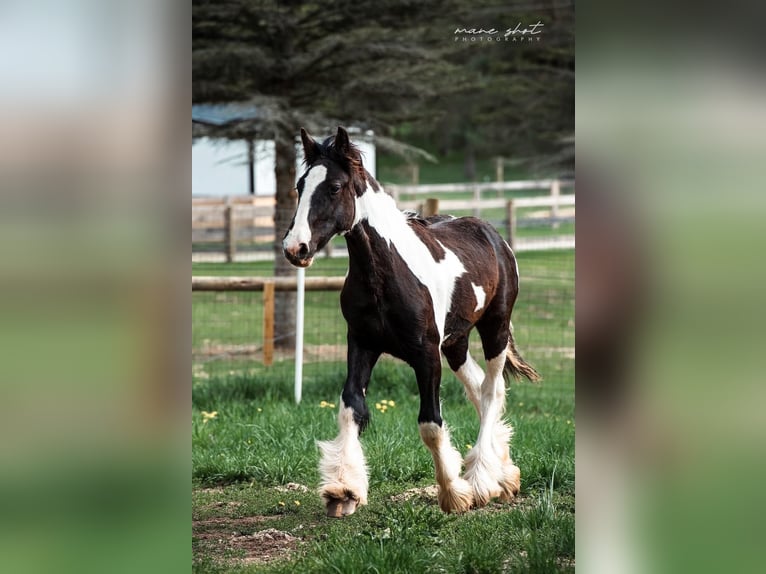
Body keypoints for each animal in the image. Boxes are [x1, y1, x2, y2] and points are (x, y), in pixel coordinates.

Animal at [283, 126, 540, 517]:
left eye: (335, 187)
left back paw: (483, 480)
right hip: (456, 343)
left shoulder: (426, 354)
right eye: (300, 185)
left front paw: (454, 494)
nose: (295, 248)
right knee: (479, 388)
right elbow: (351, 407)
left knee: (491, 390)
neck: (385, 273)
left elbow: (430, 424)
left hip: (494, 328)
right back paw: (504, 473)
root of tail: (493, 234)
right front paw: (343, 490)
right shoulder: (362, 343)